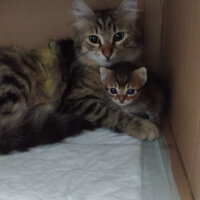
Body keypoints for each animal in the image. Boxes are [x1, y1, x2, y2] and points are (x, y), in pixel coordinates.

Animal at [62, 0, 159, 141]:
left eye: (118, 36)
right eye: (94, 39)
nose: (107, 54)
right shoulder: (75, 101)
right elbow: (111, 112)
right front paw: (142, 125)